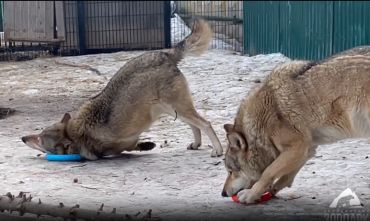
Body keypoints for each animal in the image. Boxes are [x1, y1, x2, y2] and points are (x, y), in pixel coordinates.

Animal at [21, 18, 224, 161]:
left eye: (39, 140)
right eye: (38, 134)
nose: (22, 138)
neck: (76, 133)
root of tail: (166, 54)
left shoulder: (123, 145)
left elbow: (128, 148)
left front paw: (146, 146)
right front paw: (147, 145)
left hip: (176, 108)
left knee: (206, 123)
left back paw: (218, 150)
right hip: (172, 110)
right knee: (195, 125)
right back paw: (196, 144)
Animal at [221, 48, 370, 204]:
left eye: (231, 171)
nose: (223, 193)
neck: (261, 123)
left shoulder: (296, 147)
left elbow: (267, 172)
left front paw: (250, 195)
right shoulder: (306, 150)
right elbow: (286, 176)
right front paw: (269, 190)